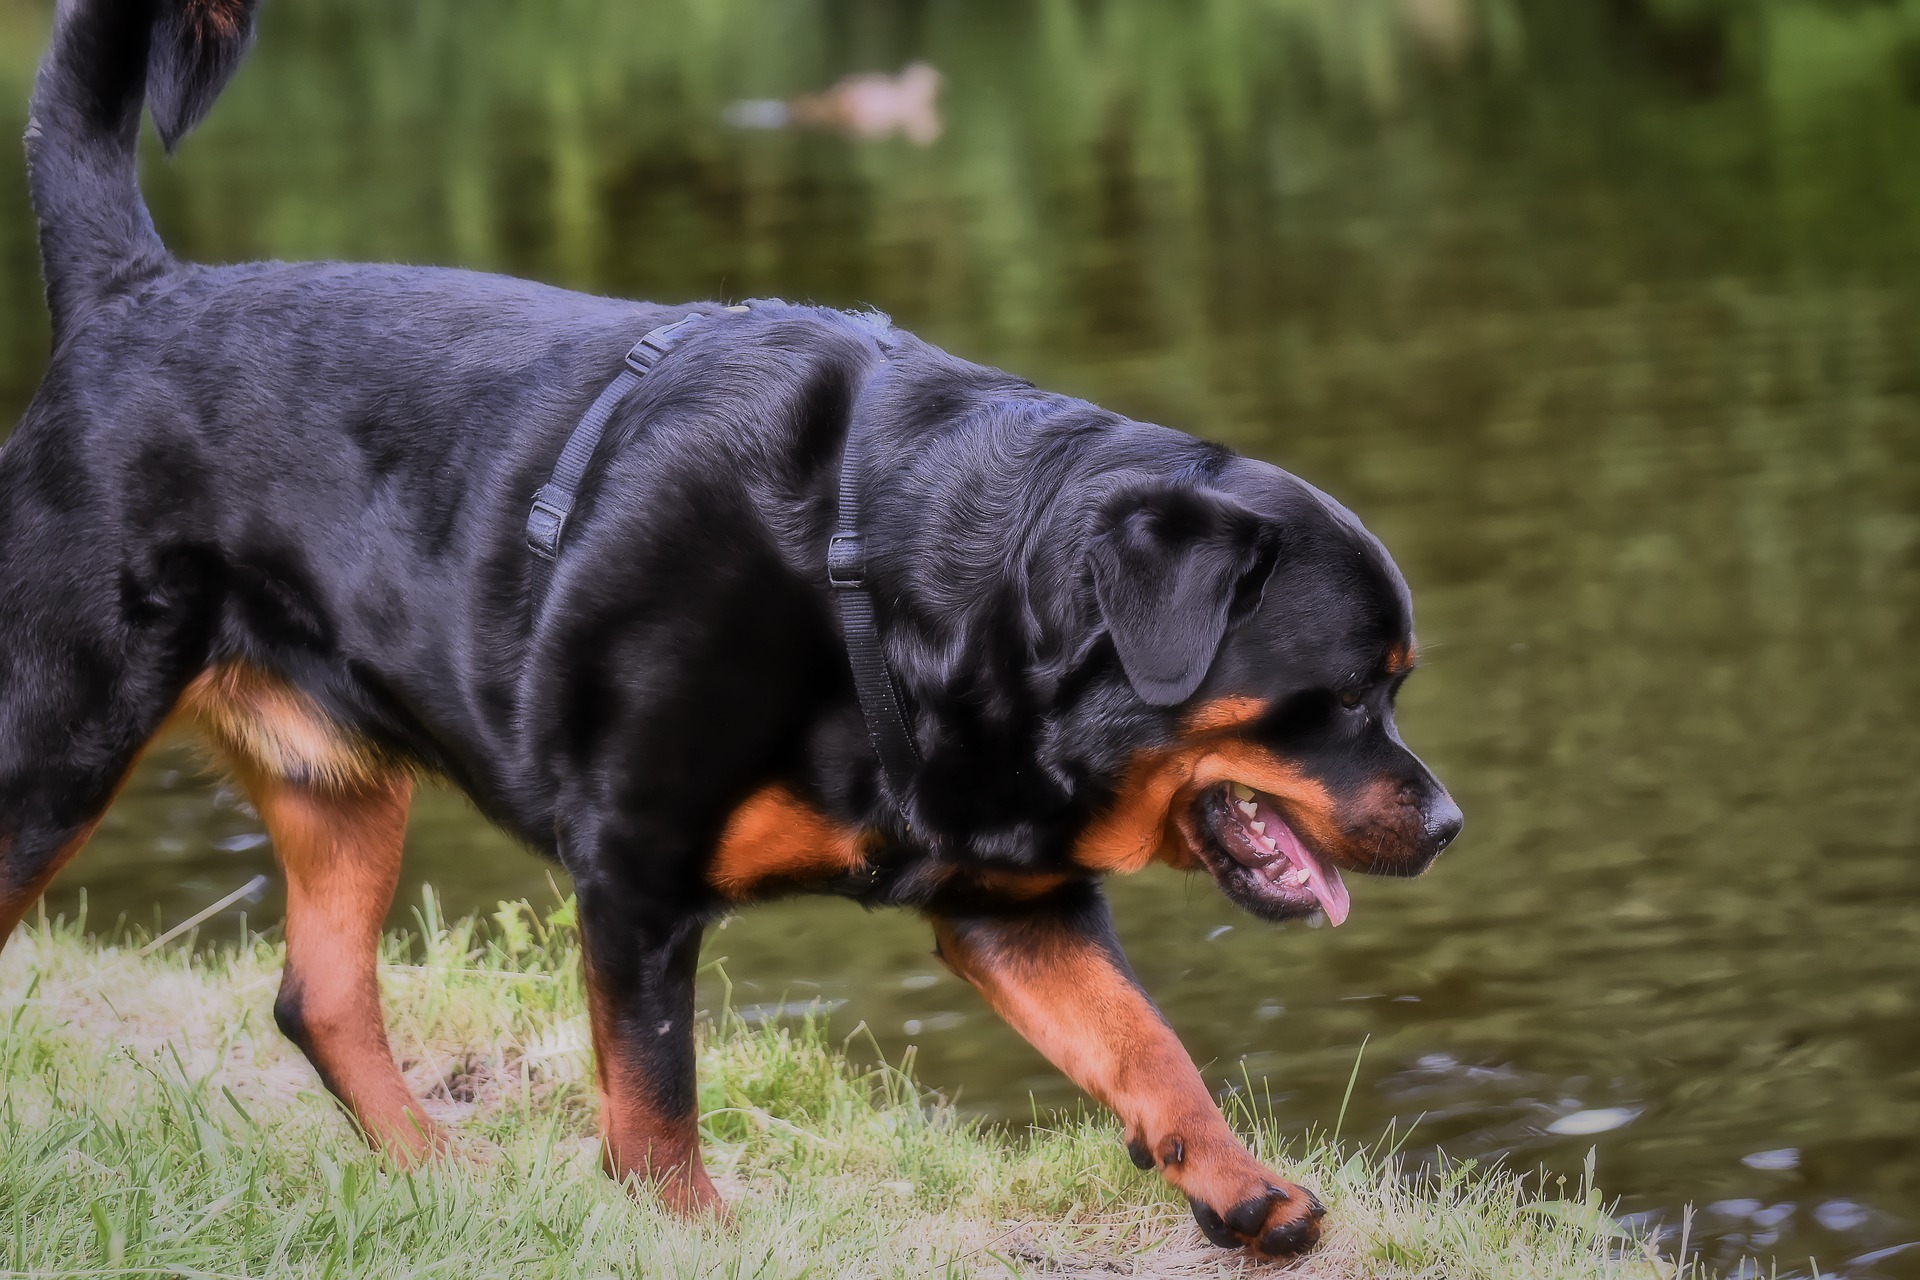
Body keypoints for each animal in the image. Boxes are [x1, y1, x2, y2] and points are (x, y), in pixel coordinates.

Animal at [3, 0, 1451, 1258]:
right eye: (1345, 693)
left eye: (1395, 686)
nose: (1447, 824)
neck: (904, 585)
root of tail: (135, 289)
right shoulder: (635, 866)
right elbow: (656, 1088)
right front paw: (688, 1228)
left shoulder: (1016, 900)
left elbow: (1147, 1043)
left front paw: (1242, 1187)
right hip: (56, 736)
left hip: (337, 778)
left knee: (322, 995)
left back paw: (439, 1173)